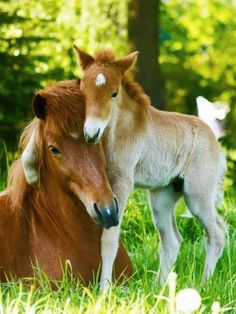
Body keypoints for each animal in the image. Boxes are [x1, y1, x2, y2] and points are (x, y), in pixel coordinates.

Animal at [74, 47, 227, 290]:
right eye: (82, 90)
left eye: (114, 93)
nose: (91, 133)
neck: (118, 131)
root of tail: (214, 138)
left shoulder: (122, 182)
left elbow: (109, 237)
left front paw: (104, 290)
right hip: (162, 197)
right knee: (172, 241)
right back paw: (158, 288)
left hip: (198, 196)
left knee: (217, 234)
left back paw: (203, 285)